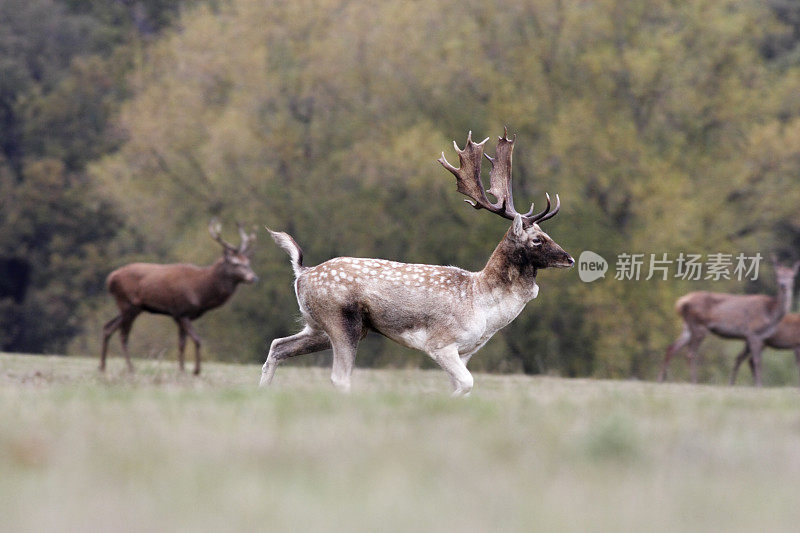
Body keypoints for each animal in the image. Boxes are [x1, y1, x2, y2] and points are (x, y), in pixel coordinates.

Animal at [100, 218, 256, 372]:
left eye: (248, 262)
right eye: (235, 263)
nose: (253, 277)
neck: (201, 293)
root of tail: (110, 279)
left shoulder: (181, 315)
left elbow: (182, 344)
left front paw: (182, 370)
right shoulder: (181, 311)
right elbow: (196, 340)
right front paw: (195, 371)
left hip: (134, 308)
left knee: (108, 327)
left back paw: (102, 366)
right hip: (127, 303)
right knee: (123, 335)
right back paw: (130, 368)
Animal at [260, 129, 572, 394]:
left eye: (547, 233)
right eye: (537, 239)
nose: (568, 258)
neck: (482, 304)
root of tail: (302, 272)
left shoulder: (465, 352)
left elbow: (462, 386)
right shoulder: (441, 342)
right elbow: (467, 383)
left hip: (319, 325)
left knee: (277, 345)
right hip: (340, 319)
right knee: (339, 376)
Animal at [660, 256, 796, 384]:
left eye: (792, 276)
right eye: (778, 275)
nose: (783, 285)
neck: (771, 314)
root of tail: (681, 302)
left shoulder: (755, 337)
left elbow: (748, 360)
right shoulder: (753, 333)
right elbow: (757, 361)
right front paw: (759, 385)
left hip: (687, 327)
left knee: (671, 348)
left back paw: (661, 379)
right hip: (699, 326)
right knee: (690, 353)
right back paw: (694, 381)